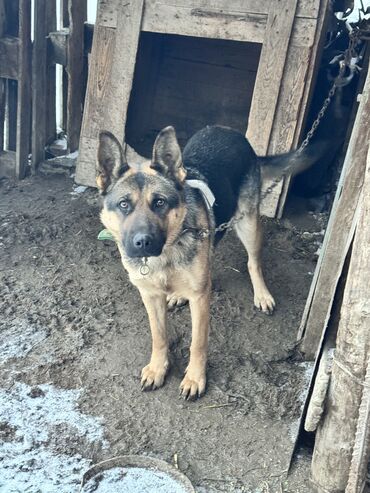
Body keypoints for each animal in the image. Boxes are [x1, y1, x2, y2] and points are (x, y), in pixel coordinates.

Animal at [97, 125, 316, 398]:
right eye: (124, 204)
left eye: (159, 202)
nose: (143, 242)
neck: (166, 254)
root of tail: (230, 131)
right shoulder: (150, 295)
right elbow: (159, 336)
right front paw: (158, 368)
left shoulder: (200, 299)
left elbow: (198, 342)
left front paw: (194, 377)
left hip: (247, 223)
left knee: (253, 262)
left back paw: (262, 294)